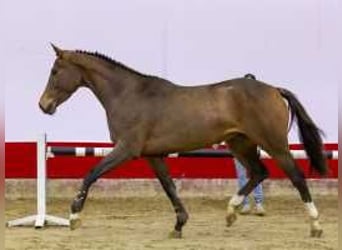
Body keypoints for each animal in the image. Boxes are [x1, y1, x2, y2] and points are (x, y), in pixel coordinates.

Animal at [38, 44, 328, 238]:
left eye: (55, 71)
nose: (44, 105)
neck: (128, 94)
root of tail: (274, 89)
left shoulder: (127, 149)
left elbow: (91, 173)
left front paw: (74, 217)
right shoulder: (153, 155)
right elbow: (169, 187)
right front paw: (179, 225)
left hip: (273, 143)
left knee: (296, 176)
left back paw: (315, 225)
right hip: (240, 143)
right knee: (259, 172)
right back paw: (231, 212)